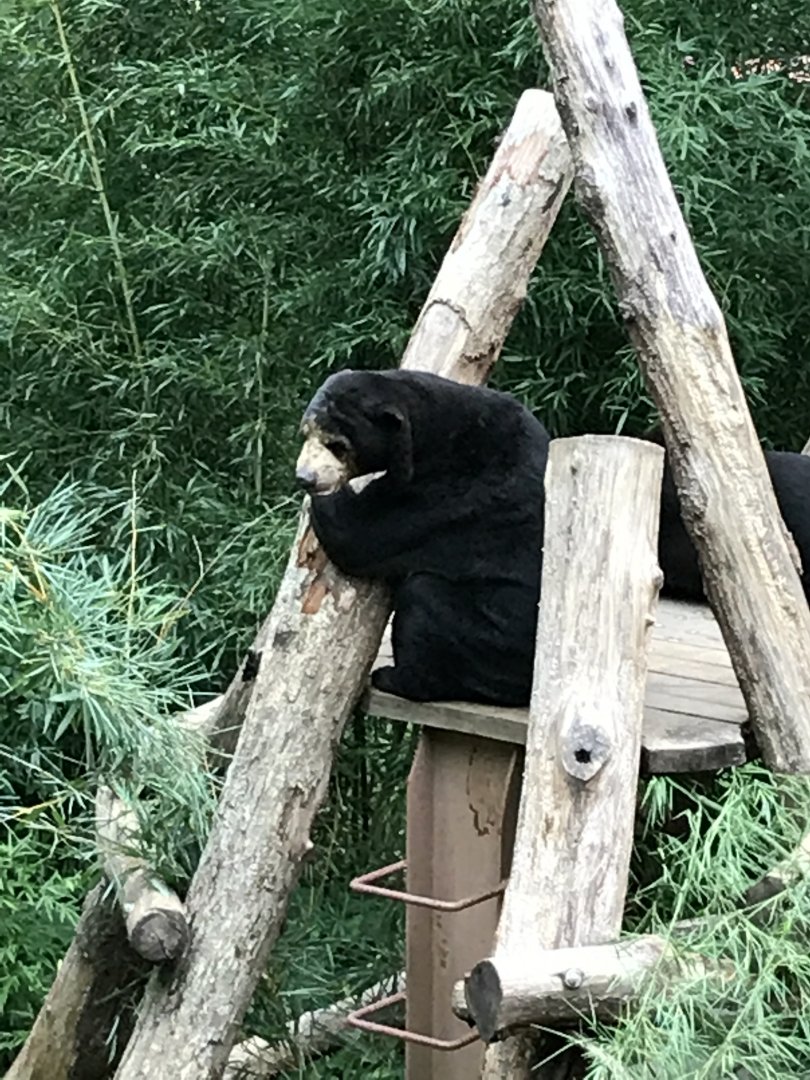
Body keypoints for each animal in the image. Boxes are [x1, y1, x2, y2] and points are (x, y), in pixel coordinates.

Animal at [296, 369, 551, 706]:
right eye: (305, 434)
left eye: (338, 445)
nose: (305, 478)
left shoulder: (447, 494)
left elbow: (360, 534)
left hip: (495, 639)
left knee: (425, 602)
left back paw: (393, 678)